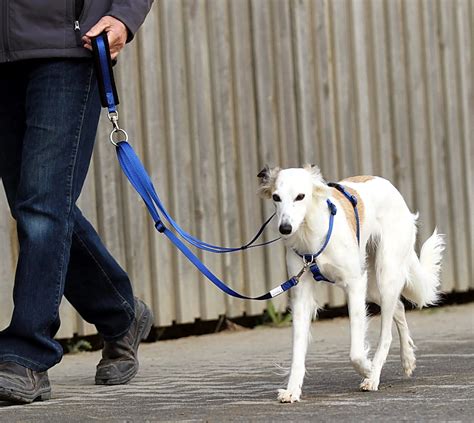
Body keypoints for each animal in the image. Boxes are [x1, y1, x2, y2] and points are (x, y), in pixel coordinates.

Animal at [256, 166, 444, 404]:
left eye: (300, 196)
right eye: (276, 197)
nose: (285, 228)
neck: (312, 233)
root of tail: (388, 185)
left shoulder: (354, 283)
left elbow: (355, 352)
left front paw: (368, 369)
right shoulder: (301, 294)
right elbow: (297, 350)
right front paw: (292, 390)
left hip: (385, 274)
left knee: (387, 333)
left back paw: (375, 376)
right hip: (372, 286)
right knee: (399, 307)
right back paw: (408, 359)